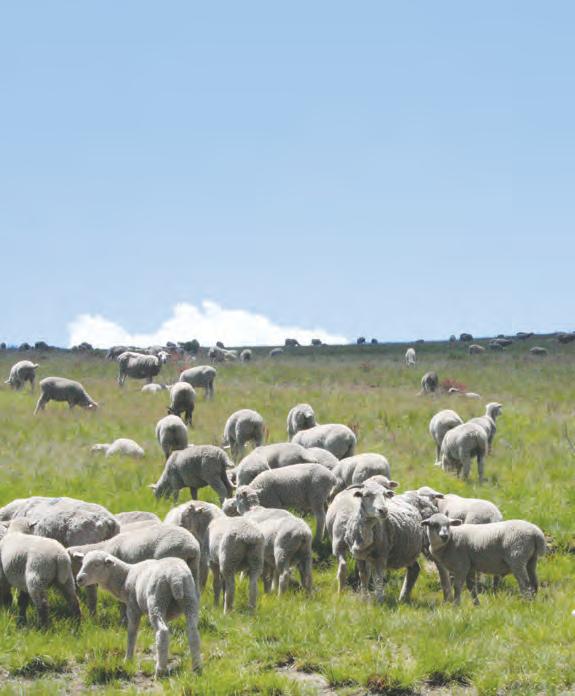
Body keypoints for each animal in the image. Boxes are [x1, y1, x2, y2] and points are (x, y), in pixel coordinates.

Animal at [68, 523, 201, 613]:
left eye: (96, 565)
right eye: (82, 563)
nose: (78, 580)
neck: (105, 546)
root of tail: (190, 547)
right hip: (193, 569)